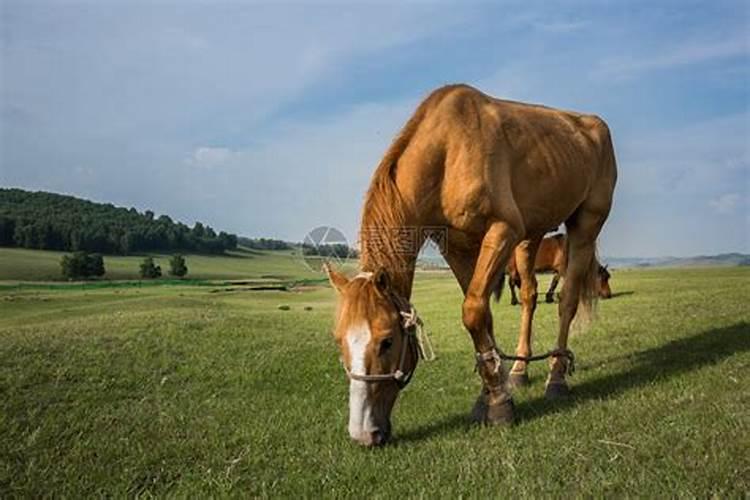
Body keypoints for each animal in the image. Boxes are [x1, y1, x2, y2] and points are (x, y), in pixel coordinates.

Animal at [326, 84, 620, 448]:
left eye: (387, 341)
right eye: (339, 340)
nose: (363, 433)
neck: (447, 153)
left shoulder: (503, 229)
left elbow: (473, 312)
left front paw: (499, 405)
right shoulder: (457, 247)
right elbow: (483, 317)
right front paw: (492, 392)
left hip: (585, 224)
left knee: (567, 301)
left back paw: (556, 377)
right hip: (531, 237)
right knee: (529, 297)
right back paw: (520, 371)